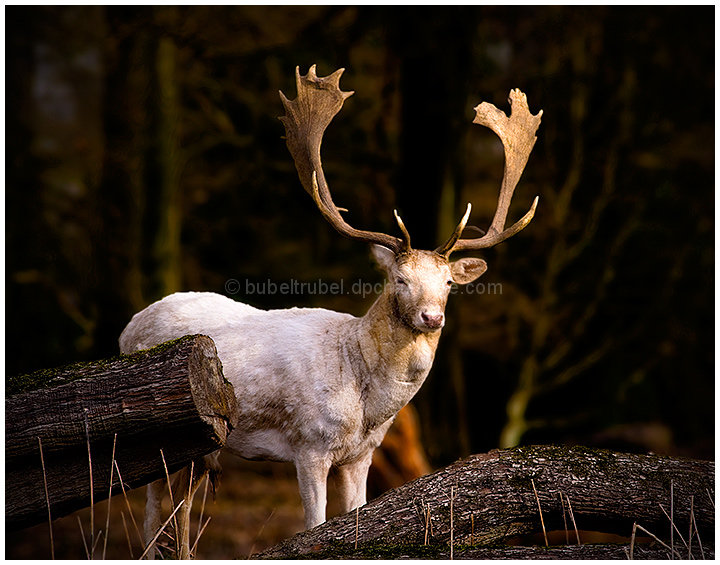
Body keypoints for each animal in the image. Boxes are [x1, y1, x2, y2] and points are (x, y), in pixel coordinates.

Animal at [121, 65, 540, 556]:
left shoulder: (362, 455)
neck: (366, 404)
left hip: (198, 449)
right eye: (400, 279)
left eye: (450, 283)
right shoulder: (309, 444)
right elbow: (313, 525)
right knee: (155, 508)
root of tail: (128, 327)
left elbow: (356, 522)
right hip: (162, 436)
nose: (431, 317)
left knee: (179, 508)